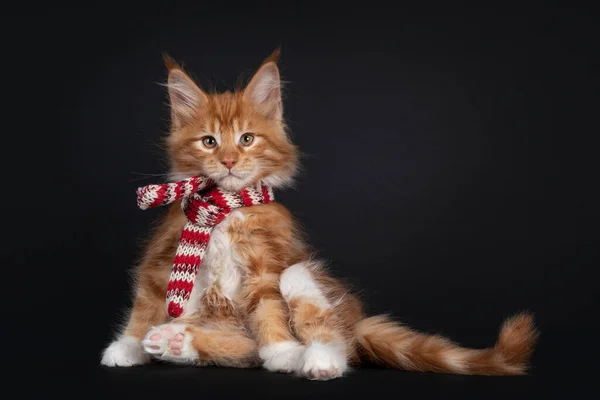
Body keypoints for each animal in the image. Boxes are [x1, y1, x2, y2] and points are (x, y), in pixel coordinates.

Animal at [101, 51, 536, 380]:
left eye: (247, 139)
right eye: (209, 141)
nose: (228, 161)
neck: (223, 209)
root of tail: (356, 318)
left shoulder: (266, 264)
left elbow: (269, 311)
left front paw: (282, 351)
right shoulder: (163, 256)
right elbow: (146, 302)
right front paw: (127, 345)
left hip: (305, 279)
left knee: (318, 329)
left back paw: (314, 359)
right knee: (243, 348)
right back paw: (176, 341)